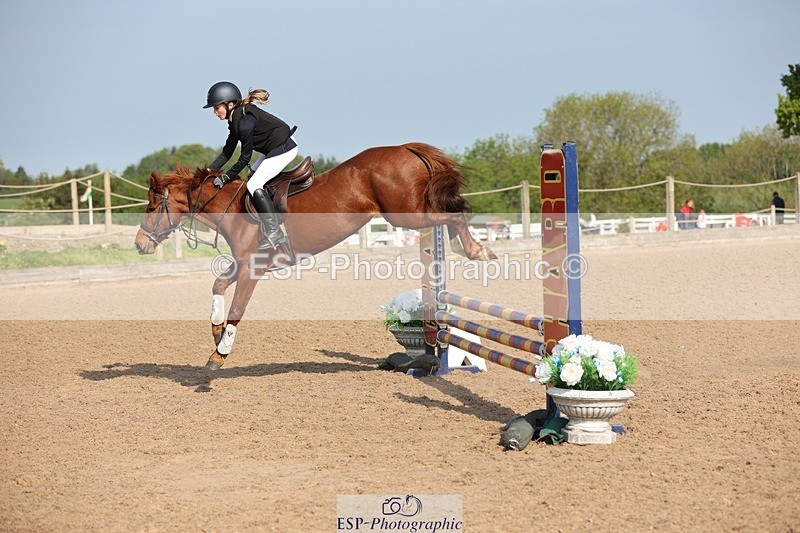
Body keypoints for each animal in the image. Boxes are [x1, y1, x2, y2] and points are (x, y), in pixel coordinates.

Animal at [134, 142, 496, 370]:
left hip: (404, 215)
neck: (232, 208)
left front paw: (220, 352)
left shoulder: (252, 269)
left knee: (452, 215)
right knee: (447, 217)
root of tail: (406, 148)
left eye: (151, 207)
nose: (139, 245)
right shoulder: (243, 264)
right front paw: (215, 329)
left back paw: (477, 250)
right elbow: (218, 285)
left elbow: (237, 309)